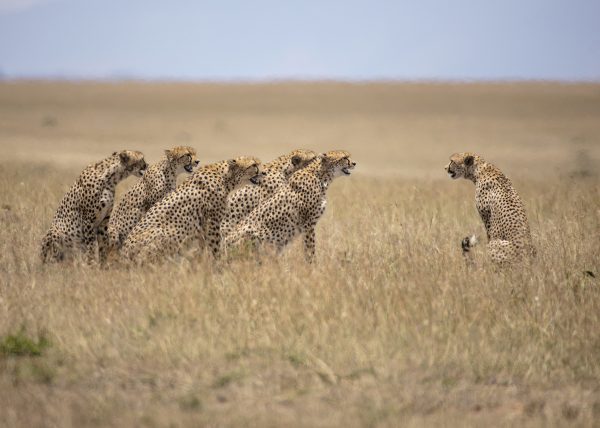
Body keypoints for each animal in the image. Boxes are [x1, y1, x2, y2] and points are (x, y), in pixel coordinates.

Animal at [120, 157, 262, 264]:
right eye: (254, 165)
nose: (263, 172)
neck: (225, 177)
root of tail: (124, 253)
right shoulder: (212, 222)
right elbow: (215, 246)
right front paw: (218, 262)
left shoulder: (202, 225)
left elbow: (204, 246)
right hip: (166, 233)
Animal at [224, 150, 356, 264]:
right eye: (344, 158)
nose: (354, 163)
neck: (321, 176)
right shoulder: (308, 224)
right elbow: (310, 248)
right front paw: (312, 267)